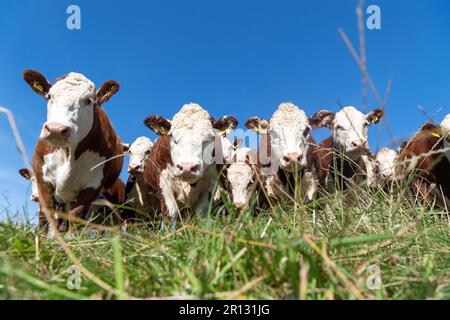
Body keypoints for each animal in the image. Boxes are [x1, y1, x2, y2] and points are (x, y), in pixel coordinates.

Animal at [23, 70, 124, 231]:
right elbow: (46, 214)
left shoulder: (94, 183)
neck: (69, 154)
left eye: (88, 101)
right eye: (49, 96)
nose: (56, 129)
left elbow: (76, 216)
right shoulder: (42, 177)